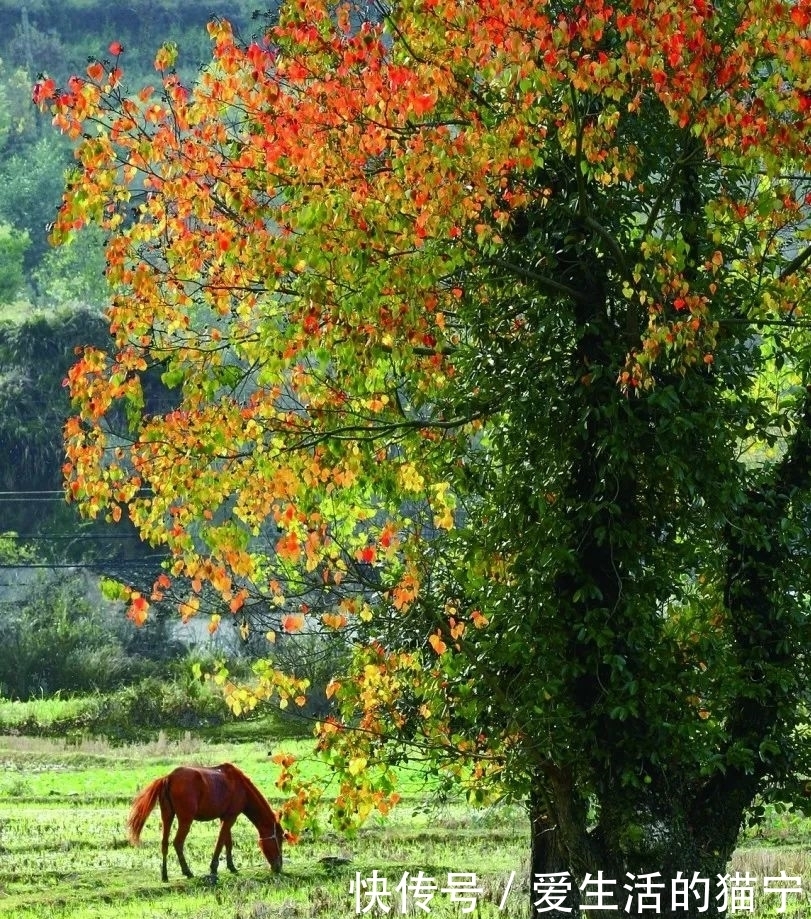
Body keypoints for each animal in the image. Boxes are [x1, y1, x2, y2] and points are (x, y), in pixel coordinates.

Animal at [124, 760, 282, 884]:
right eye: (280, 839)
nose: (279, 866)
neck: (241, 786)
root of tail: (168, 778)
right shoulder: (230, 817)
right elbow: (220, 842)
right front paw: (213, 868)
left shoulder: (224, 818)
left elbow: (228, 842)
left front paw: (231, 866)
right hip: (185, 820)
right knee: (177, 843)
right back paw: (187, 872)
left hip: (167, 817)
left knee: (164, 843)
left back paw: (165, 875)